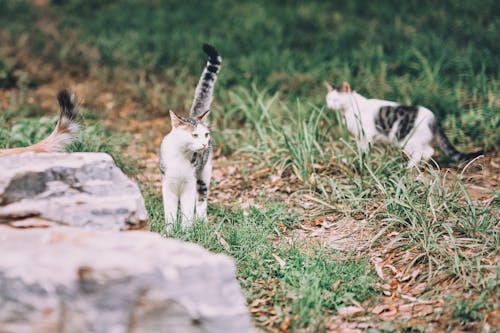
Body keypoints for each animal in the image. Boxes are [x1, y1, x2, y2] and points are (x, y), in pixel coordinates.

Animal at [159, 42, 222, 227]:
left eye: (206, 135)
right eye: (194, 135)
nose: (204, 144)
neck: (181, 155)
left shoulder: (189, 184)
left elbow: (187, 210)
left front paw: (187, 229)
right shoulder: (168, 184)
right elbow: (170, 211)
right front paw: (170, 230)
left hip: (204, 173)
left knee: (202, 196)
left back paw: (201, 220)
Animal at [326, 81, 482, 169]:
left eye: (336, 99)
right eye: (328, 99)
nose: (328, 105)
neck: (350, 109)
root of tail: (434, 119)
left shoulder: (367, 134)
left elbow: (364, 148)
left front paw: (361, 158)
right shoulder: (360, 136)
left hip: (406, 140)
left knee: (421, 152)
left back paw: (408, 167)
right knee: (429, 151)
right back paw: (420, 166)